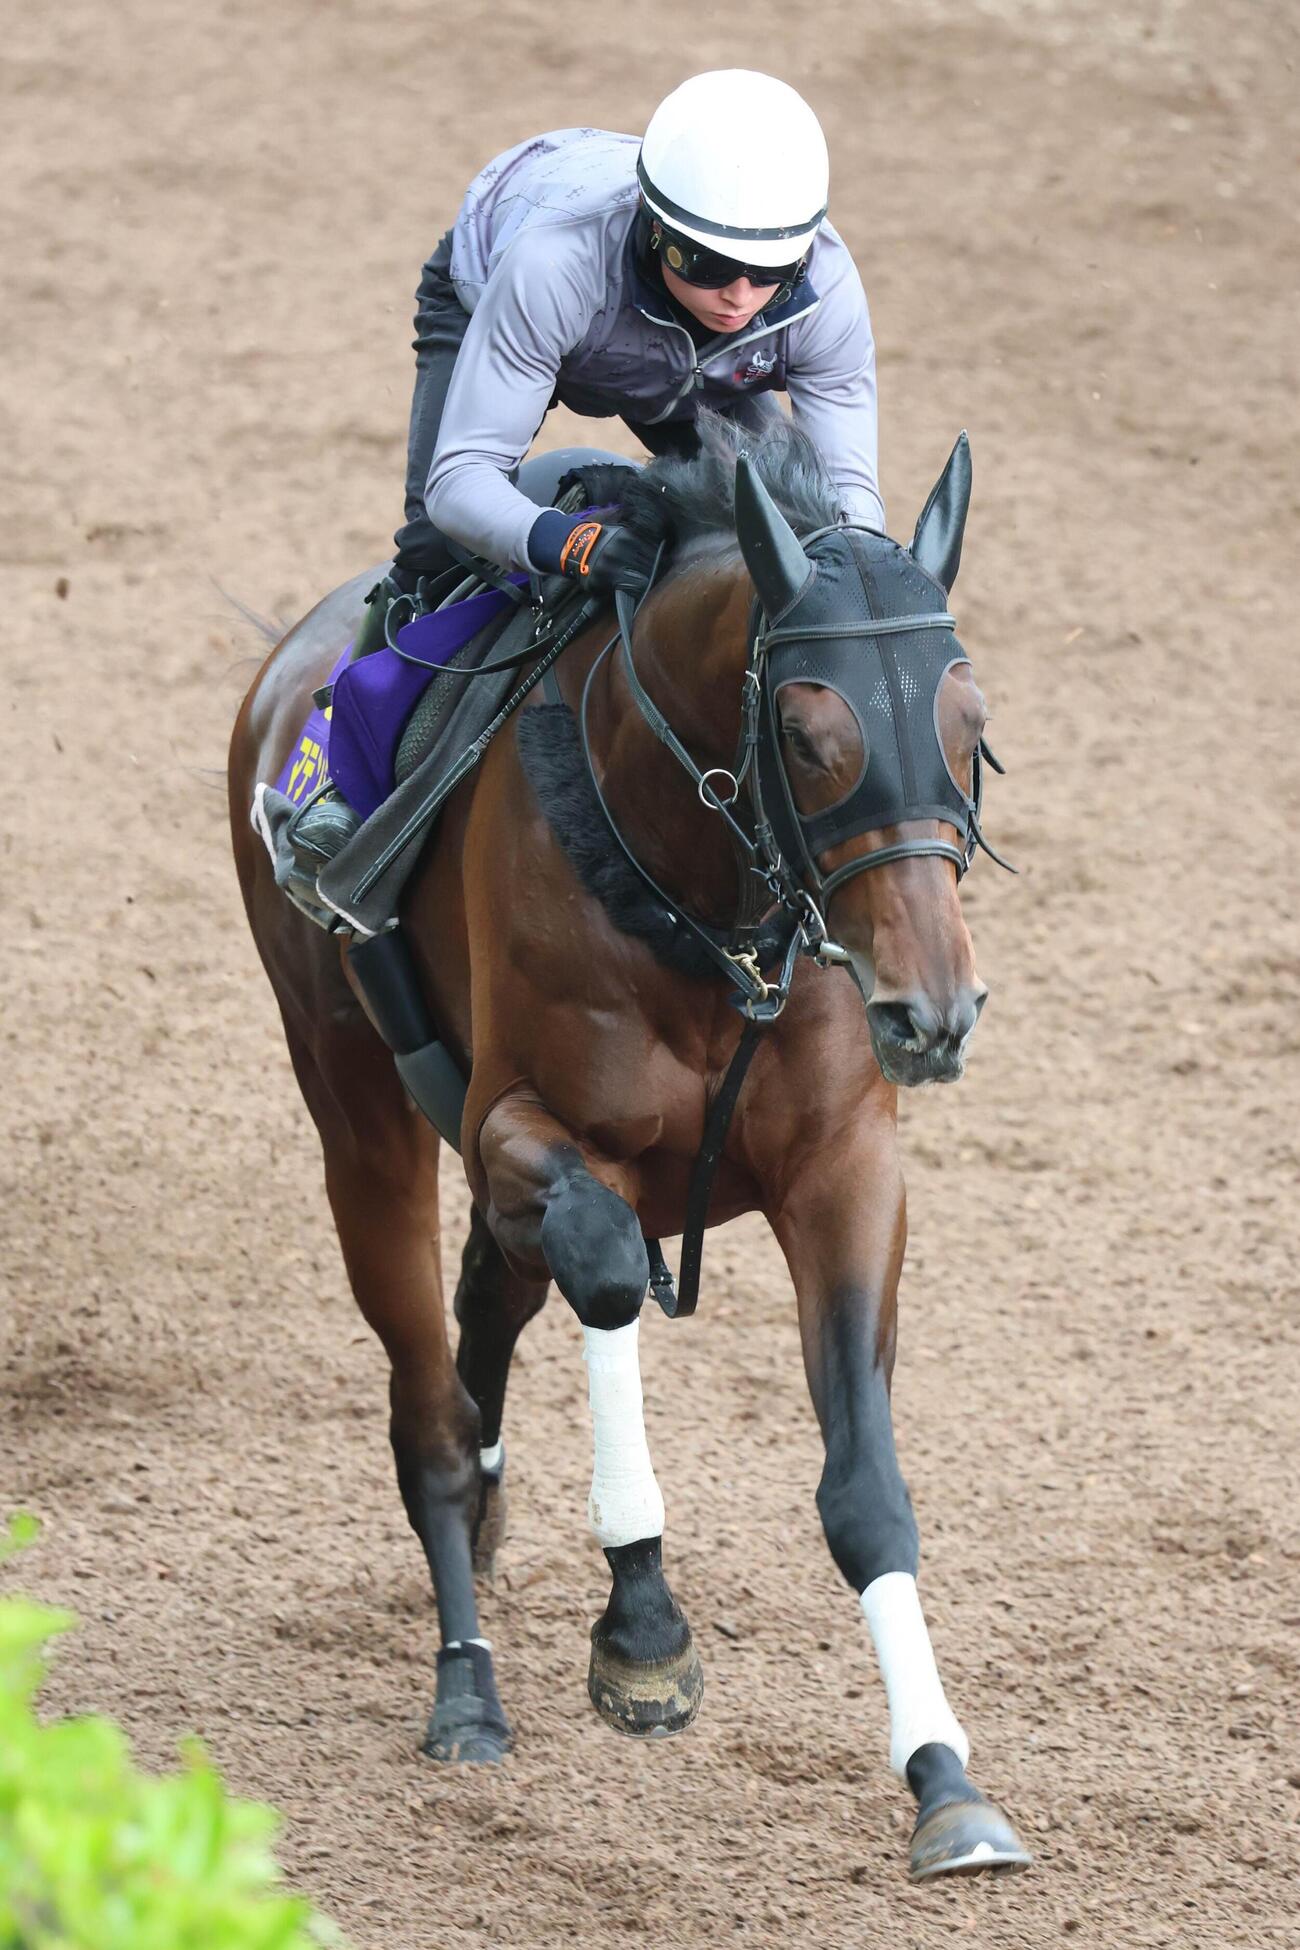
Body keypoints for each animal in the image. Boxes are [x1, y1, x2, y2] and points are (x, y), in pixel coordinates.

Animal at [227, 414, 1030, 1880]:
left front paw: (944, 1781)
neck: (697, 914)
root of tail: (285, 667)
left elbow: (866, 1484)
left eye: (970, 723)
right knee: (430, 1404)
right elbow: (607, 1274)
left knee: (485, 1312)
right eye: (808, 731)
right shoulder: (523, 1126)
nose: (930, 1011)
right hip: (357, 1108)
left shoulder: (846, 1169)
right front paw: (643, 1628)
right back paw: (467, 1682)